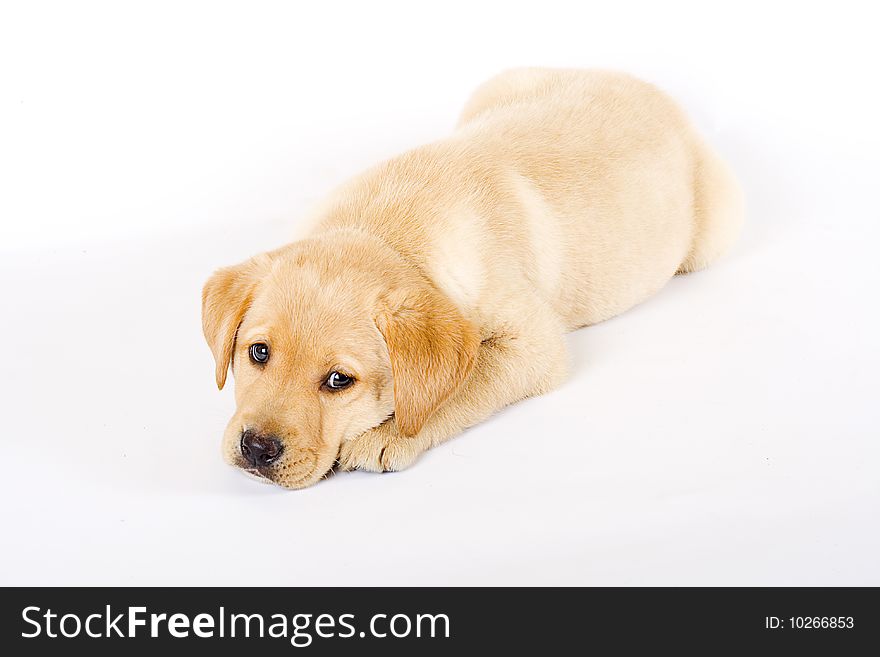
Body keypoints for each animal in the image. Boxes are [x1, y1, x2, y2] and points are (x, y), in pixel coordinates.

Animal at [201, 68, 744, 486]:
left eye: (339, 381)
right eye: (257, 353)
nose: (257, 449)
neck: (383, 230)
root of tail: (656, 89)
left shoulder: (534, 346)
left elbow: (463, 386)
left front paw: (387, 435)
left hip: (713, 231)